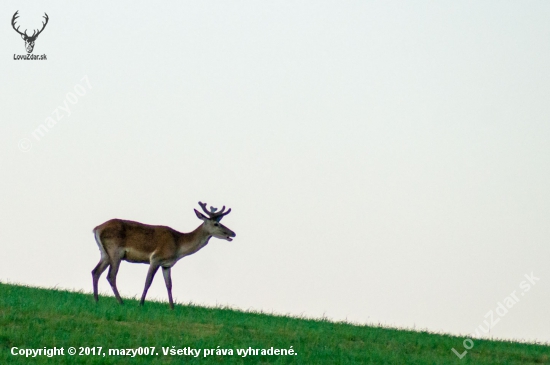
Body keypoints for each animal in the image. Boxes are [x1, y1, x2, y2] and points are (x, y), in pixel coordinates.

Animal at [92, 202, 235, 308]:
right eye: (216, 224)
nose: (233, 233)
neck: (178, 246)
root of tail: (96, 228)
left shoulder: (167, 264)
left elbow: (169, 284)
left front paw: (172, 307)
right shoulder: (156, 258)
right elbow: (148, 281)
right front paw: (141, 303)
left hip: (104, 253)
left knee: (95, 271)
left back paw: (96, 299)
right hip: (115, 251)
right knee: (111, 275)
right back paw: (120, 302)